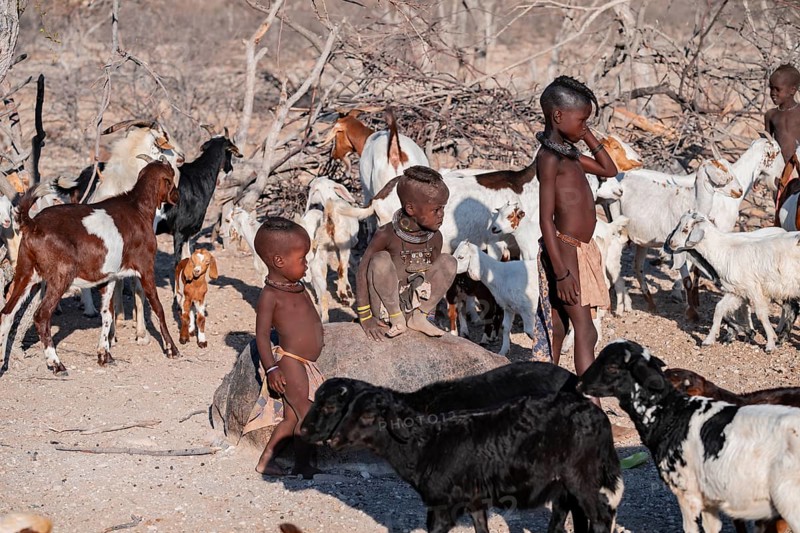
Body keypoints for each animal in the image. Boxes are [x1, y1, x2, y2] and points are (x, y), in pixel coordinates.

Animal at [0, 158, 180, 374]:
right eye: (172, 177)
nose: (177, 197)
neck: (137, 207)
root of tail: (33, 224)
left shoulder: (109, 277)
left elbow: (108, 314)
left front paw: (104, 354)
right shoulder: (146, 268)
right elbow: (158, 308)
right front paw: (172, 348)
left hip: (26, 274)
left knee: (7, 314)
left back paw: (2, 362)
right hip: (61, 276)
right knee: (42, 316)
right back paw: (55, 363)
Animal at [328, 386, 621, 533]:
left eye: (368, 416)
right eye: (346, 410)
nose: (332, 440)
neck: (425, 445)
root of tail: (599, 416)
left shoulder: (444, 506)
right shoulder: (475, 500)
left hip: (581, 475)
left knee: (601, 517)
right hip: (565, 484)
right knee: (567, 516)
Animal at [666, 210, 800, 352]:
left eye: (685, 229)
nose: (671, 242)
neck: (725, 251)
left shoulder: (753, 288)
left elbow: (761, 314)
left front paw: (770, 343)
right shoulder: (736, 291)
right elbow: (720, 309)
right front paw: (709, 339)